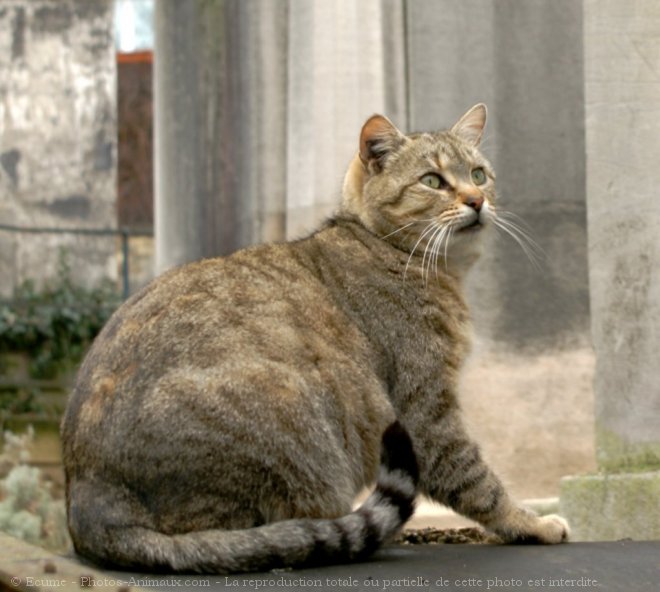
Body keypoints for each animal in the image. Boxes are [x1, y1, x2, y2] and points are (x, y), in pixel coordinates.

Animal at [60, 103, 568, 572]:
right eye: (433, 180)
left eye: (478, 174)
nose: (477, 200)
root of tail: (89, 510)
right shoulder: (425, 411)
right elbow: (479, 482)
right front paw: (533, 523)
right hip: (287, 416)